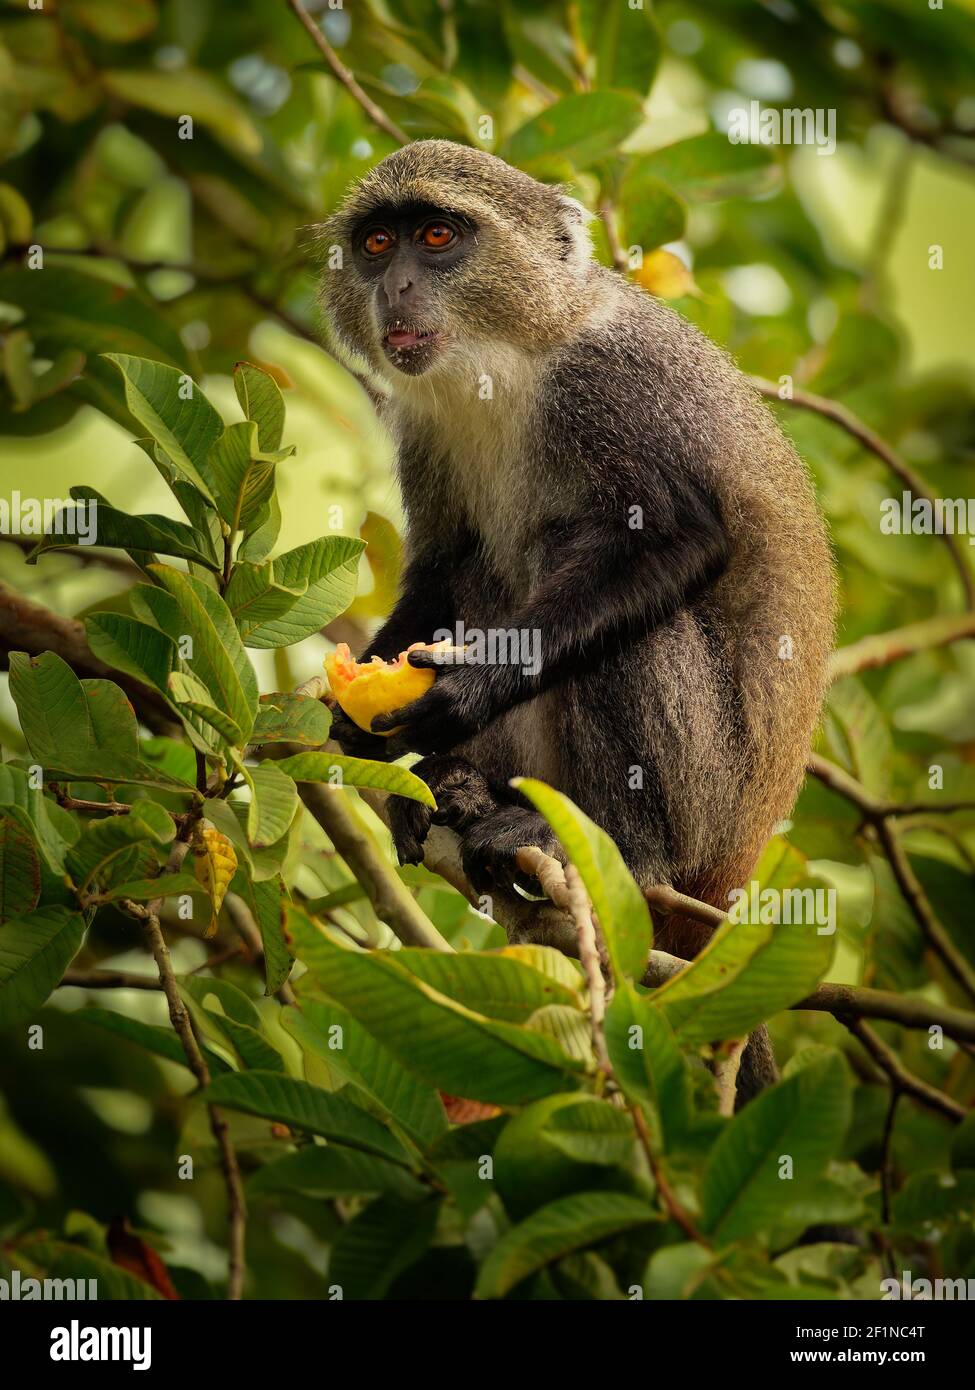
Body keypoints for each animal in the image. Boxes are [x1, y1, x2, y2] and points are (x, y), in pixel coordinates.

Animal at [319, 138, 834, 1095]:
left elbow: (675, 543)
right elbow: (441, 570)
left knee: (632, 632)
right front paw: (356, 722)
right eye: (375, 245)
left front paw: (469, 686)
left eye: (437, 236)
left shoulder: (611, 390)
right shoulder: (425, 428)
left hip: (707, 800)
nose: (394, 289)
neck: (509, 356)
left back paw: (617, 851)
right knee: (484, 569)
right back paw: (457, 791)